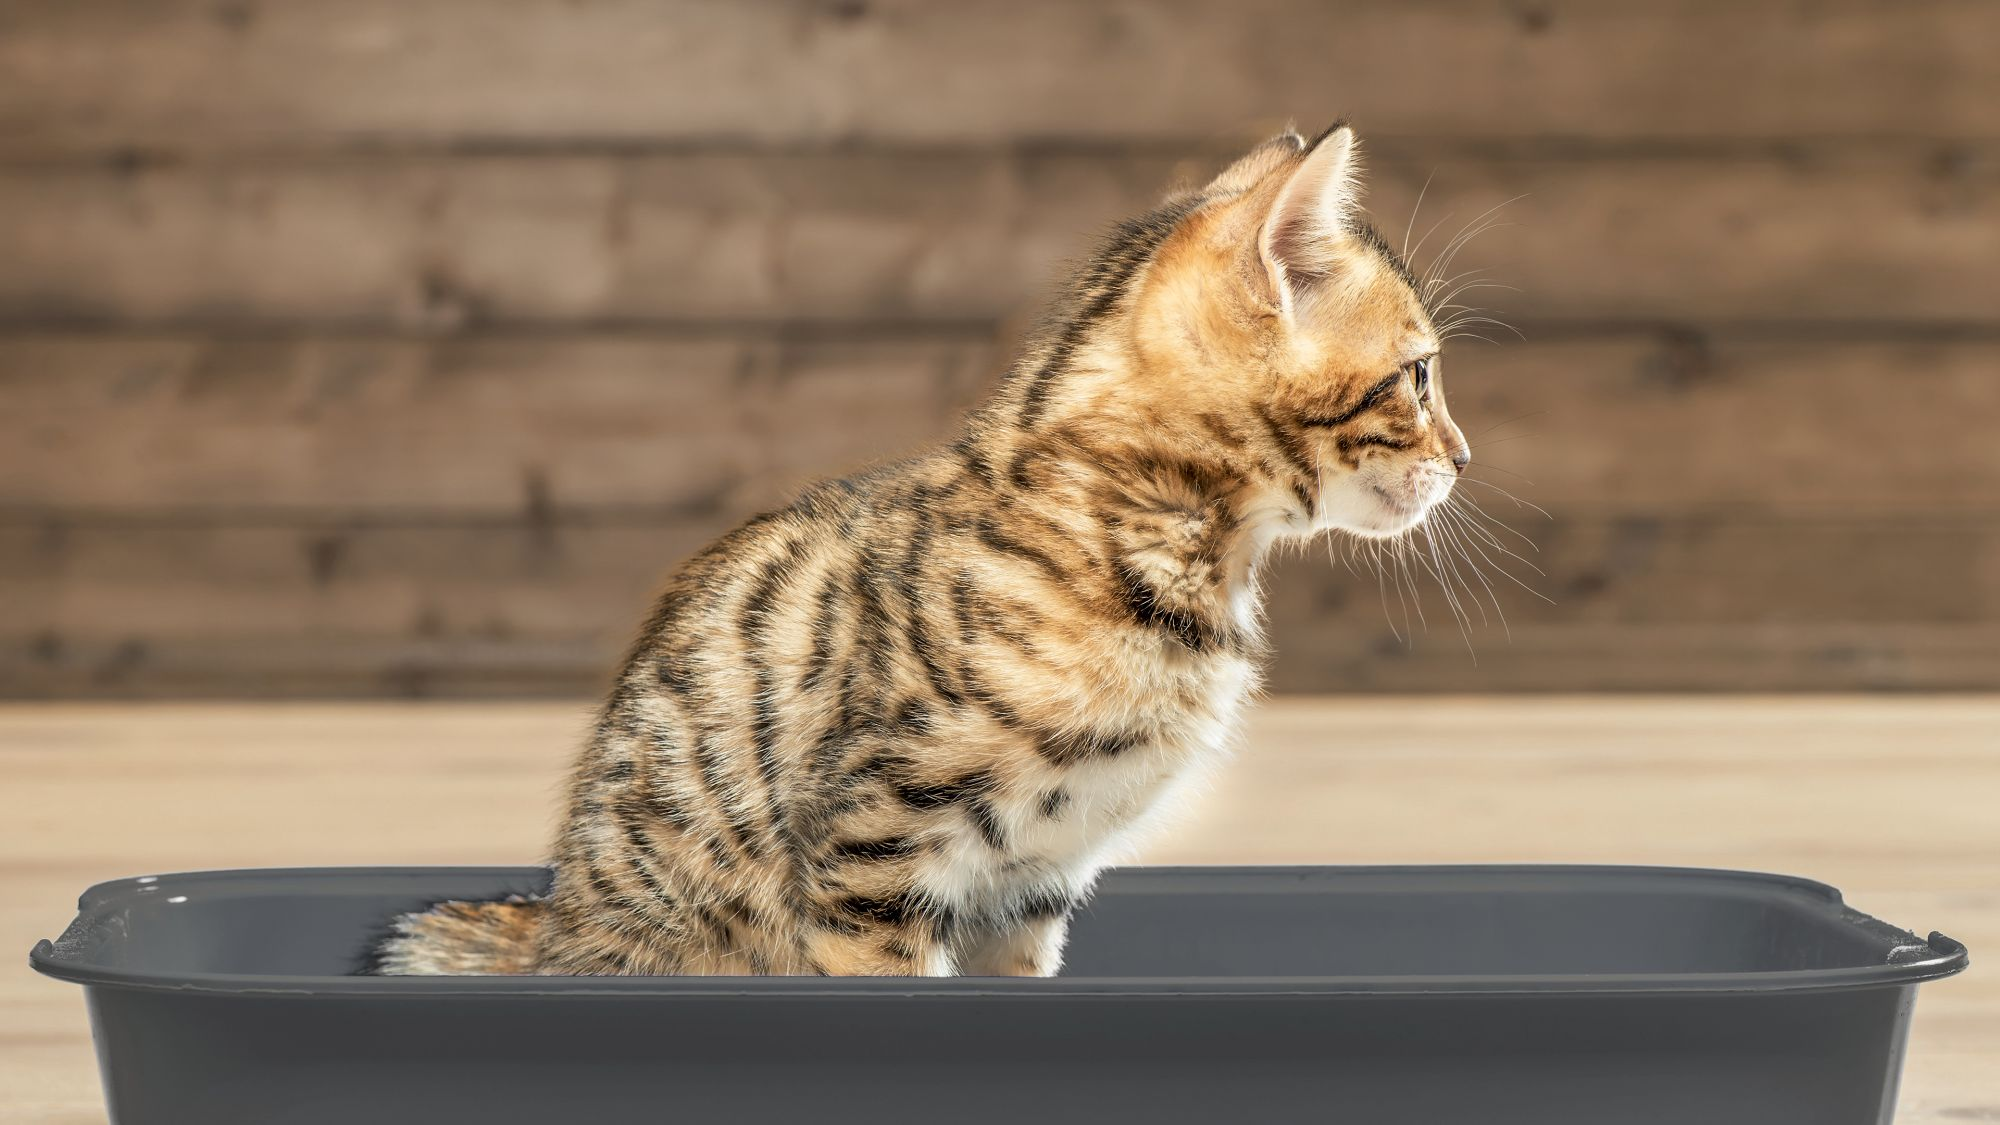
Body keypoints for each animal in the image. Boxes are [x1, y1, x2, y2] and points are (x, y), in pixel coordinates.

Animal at [372, 122, 1472, 972]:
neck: (1153, 548)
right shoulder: (873, 857)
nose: (1462, 457)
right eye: (1417, 377)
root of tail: (558, 918)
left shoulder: (1031, 887)